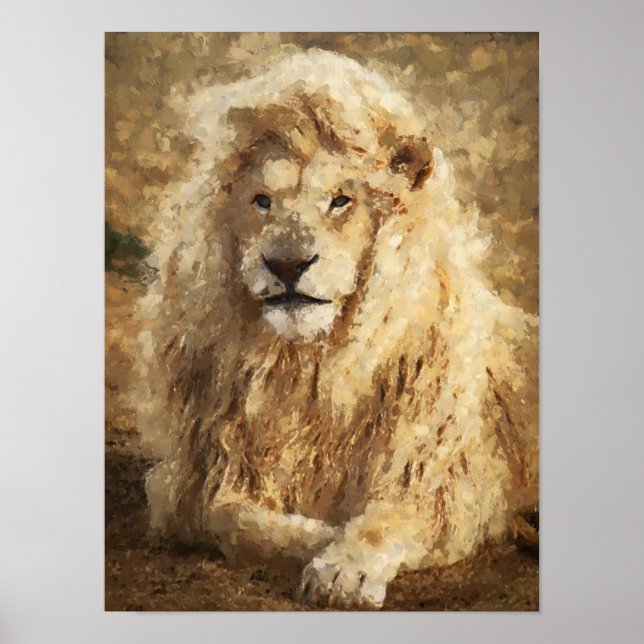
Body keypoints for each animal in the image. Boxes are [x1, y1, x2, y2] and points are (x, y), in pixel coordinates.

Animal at [133, 49, 537, 609]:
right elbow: (232, 517)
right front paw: (321, 539)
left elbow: (391, 518)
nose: (286, 264)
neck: (311, 366)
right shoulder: (201, 475)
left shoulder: (445, 480)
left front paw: (345, 567)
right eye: (262, 200)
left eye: (341, 201)